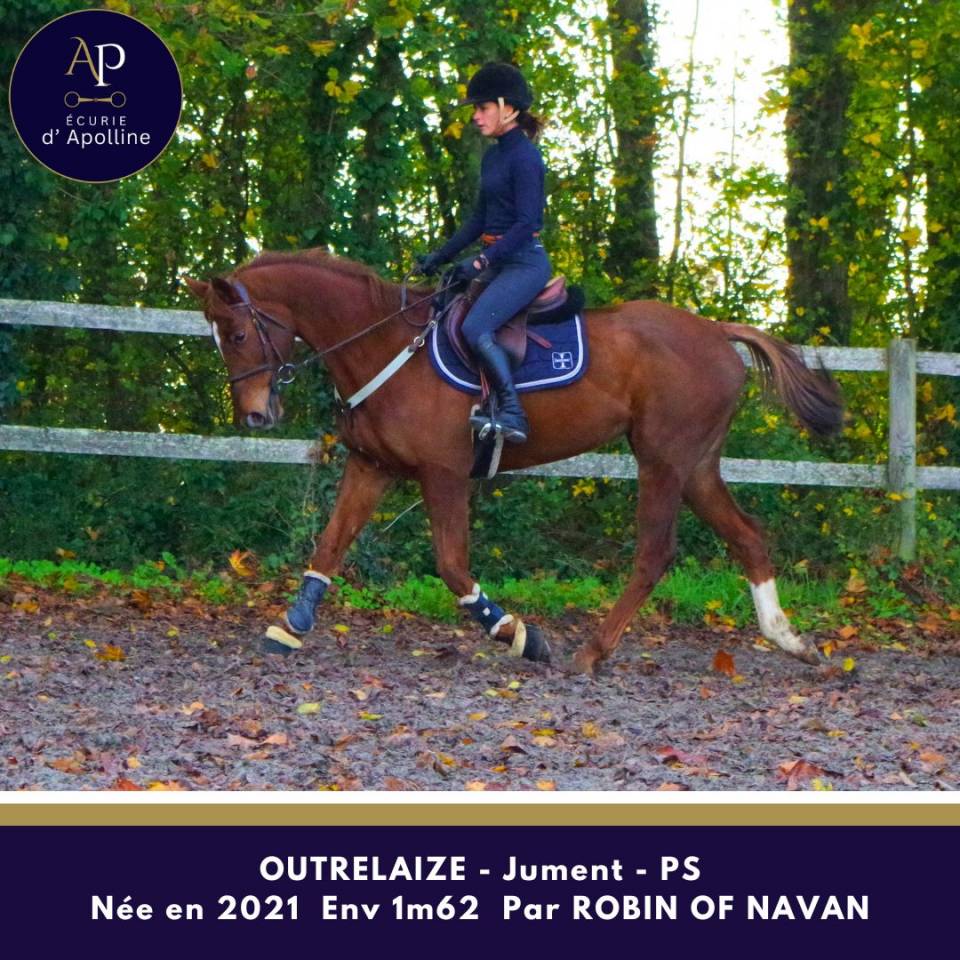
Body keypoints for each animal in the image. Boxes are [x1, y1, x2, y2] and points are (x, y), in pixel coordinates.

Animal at [185, 248, 842, 675]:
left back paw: (591, 652)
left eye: (237, 336)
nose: (254, 418)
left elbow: (452, 567)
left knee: (655, 552)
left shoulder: (443, 474)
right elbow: (329, 545)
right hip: (697, 466)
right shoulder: (371, 466)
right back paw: (791, 641)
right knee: (748, 538)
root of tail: (714, 332)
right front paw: (290, 627)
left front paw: (519, 635)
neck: (383, 343)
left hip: (663, 461)